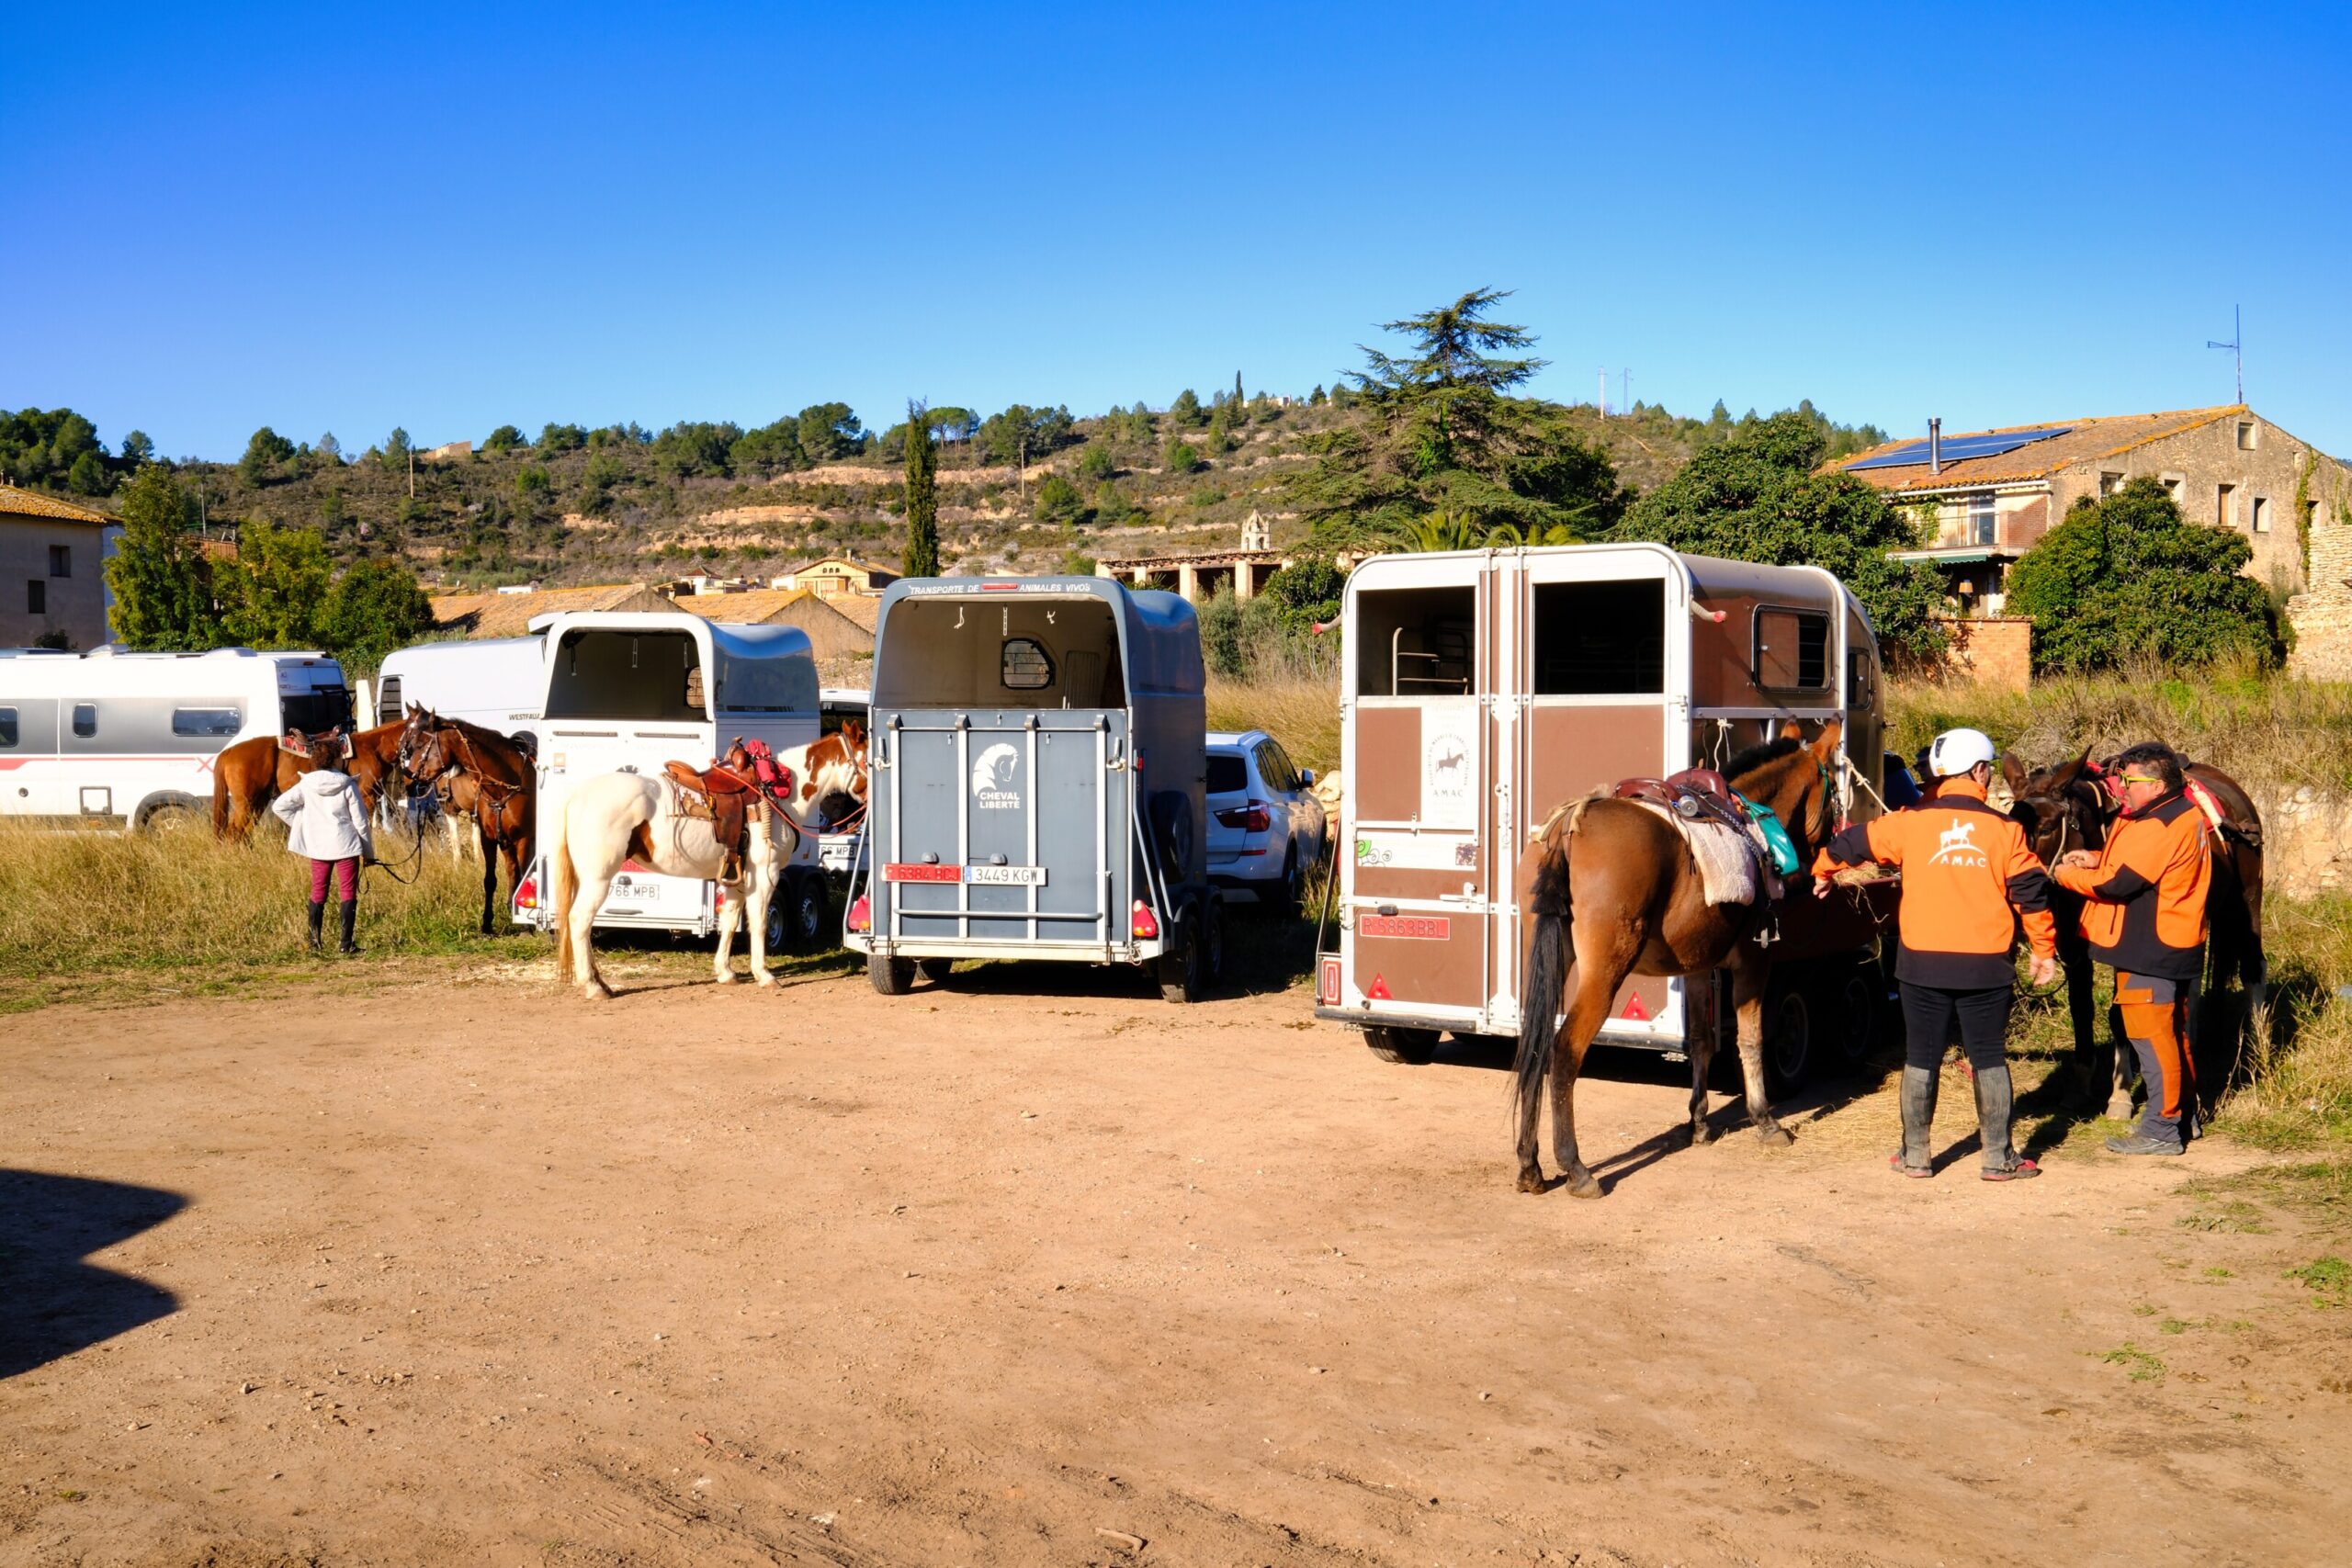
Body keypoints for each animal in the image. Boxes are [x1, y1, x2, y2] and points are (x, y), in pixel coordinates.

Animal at [397, 705, 537, 934]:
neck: (505, 786)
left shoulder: (523, 838)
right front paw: (487, 923)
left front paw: (525, 924)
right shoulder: (490, 839)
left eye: (420, 744)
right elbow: (490, 880)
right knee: (511, 870)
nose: (409, 778)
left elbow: (523, 875)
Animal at [541, 766, 801, 1000]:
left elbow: (729, 922)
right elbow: (760, 923)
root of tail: (577, 795)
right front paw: (764, 975)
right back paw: (593, 987)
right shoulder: (766, 874)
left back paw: (601, 982)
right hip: (599, 879)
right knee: (580, 920)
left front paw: (726, 973)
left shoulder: (736, 879)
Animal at [1512, 720, 1849, 1198]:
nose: (1830, 848)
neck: (1752, 825)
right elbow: (1751, 1040)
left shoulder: (1699, 967)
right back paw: (1575, 1167)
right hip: (1604, 973)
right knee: (1564, 1051)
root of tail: (1570, 828)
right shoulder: (1754, 962)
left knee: (1535, 1045)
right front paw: (1765, 1120)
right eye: (1832, 787)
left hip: (1551, 960)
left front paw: (1700, 1121)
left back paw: (1530, 1165)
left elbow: (1704, 1041)